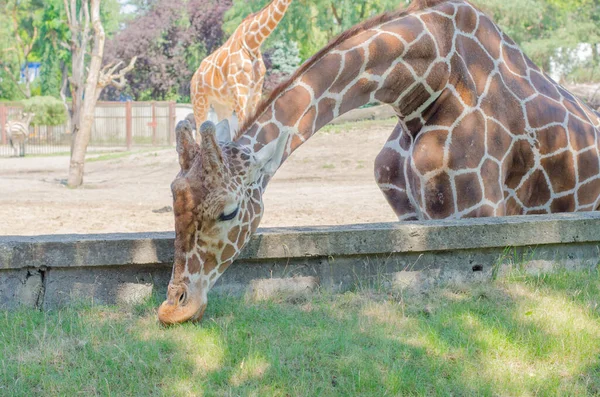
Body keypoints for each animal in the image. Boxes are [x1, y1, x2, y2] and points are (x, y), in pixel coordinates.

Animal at [191, 0, 292, 135]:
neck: (251, 44)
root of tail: (193, 77)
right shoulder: (240, 90)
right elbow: (242, 123)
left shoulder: (256, 91)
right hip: (199, 102)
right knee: (198, 131)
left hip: (222, 105)